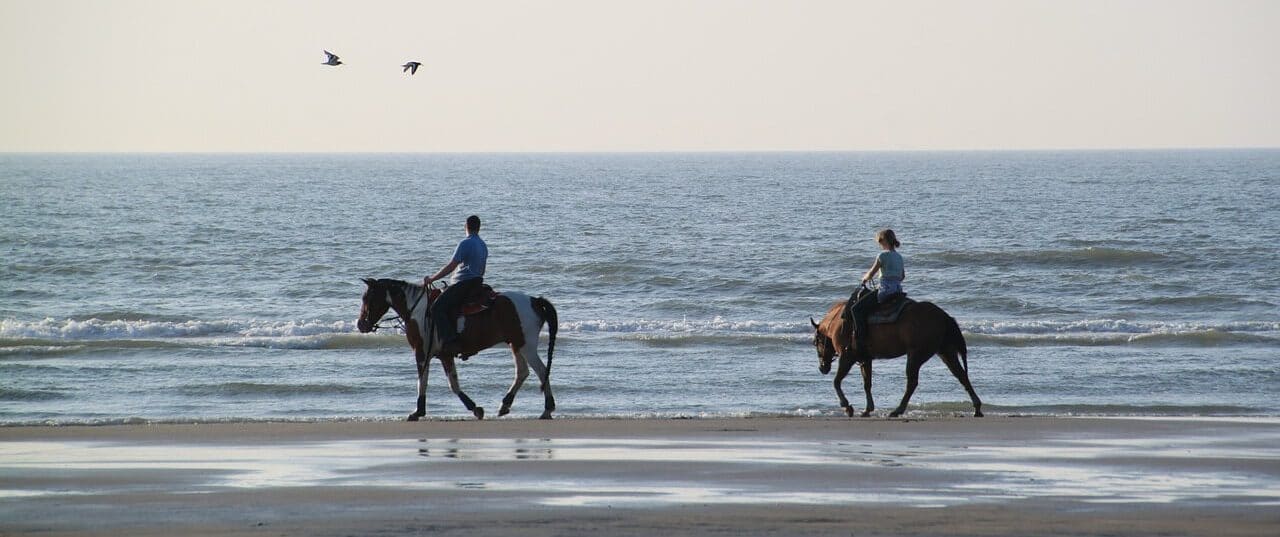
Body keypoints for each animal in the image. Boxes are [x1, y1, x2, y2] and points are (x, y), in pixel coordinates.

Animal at [360, 278, 560, 421]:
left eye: (366, 298)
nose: (361, 324)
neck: (417, 311)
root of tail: (535, 301)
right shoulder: (444, 355)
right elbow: (453, 384)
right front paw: (475, 408)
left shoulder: (421, 352)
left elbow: (422, 381)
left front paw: (417, 411)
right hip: (516, 344)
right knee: (523, 372)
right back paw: (505, 405)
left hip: (526, 345)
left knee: (542, 371)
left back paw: (547, 409)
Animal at [808, 295, 977, 416]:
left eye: (816, 342)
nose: (822, 367)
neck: (838, 322)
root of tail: (944, 317)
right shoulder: (865, 359)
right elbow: (867, 383)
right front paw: (868, 409)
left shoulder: (847, 357)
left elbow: (836, 382)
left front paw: (847, 407)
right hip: (945, 352)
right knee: (961, 375)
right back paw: (977, 408)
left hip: (916, 355)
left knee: (912, 382)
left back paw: (898, 410)